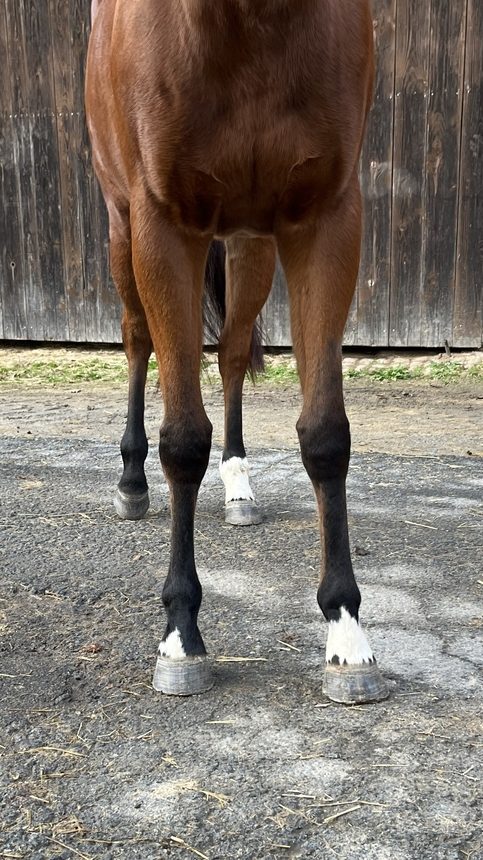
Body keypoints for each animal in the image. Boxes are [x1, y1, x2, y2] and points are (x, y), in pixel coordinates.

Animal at [85, 0, 388, 704]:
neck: (250, 23)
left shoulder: (325, 221)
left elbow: (326, 434)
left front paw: (346, 631)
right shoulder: (164, 227)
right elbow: (182, 440)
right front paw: (181, 633)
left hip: (252, 241)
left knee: (228, 353)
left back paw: (238, 485)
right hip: (123, 228)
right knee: (139, 342)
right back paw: (131, 481)